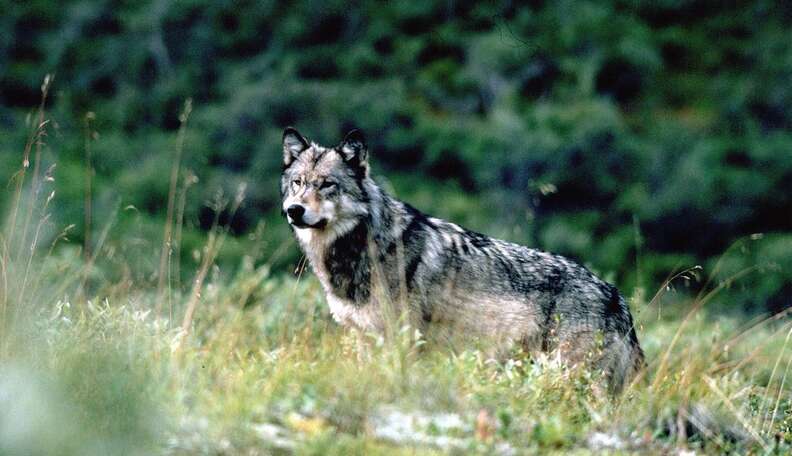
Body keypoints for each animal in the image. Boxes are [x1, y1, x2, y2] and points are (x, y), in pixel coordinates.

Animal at [280, 127, 644, 391]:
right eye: (298, 183)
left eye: (327, 184)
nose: (293, 210)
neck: (362, 248)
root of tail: (617, 297)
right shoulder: (363, 337)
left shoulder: (400, 341)